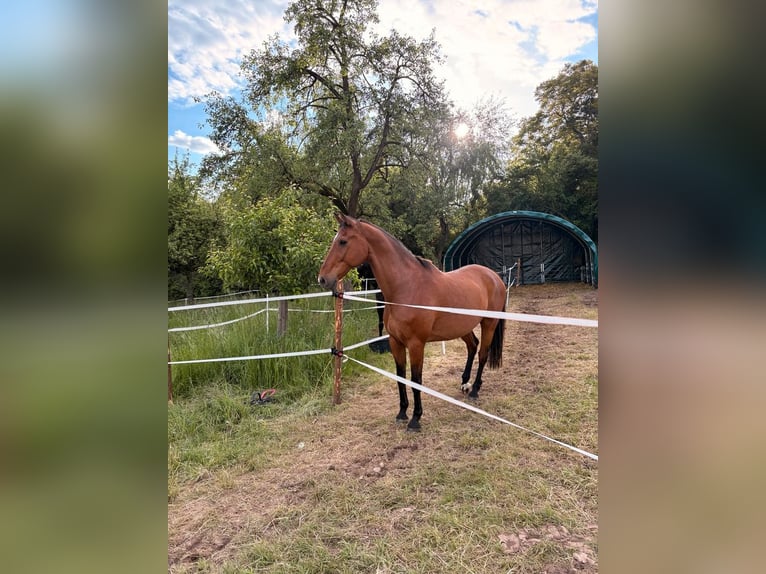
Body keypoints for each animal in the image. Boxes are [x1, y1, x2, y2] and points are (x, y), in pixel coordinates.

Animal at [318, 213, 506, 431]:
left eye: (343, 241)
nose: (323, 278)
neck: (406, 287)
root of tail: (494, 276)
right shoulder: (395, 342)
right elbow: (400, 377)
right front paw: (402, 413)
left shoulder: (416, 344)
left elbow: (416, 379)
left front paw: (415, 419)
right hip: (462, 327)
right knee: (473, 346)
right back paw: (464, 383)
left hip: (489, 323)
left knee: (483, 353)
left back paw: (475, 389)